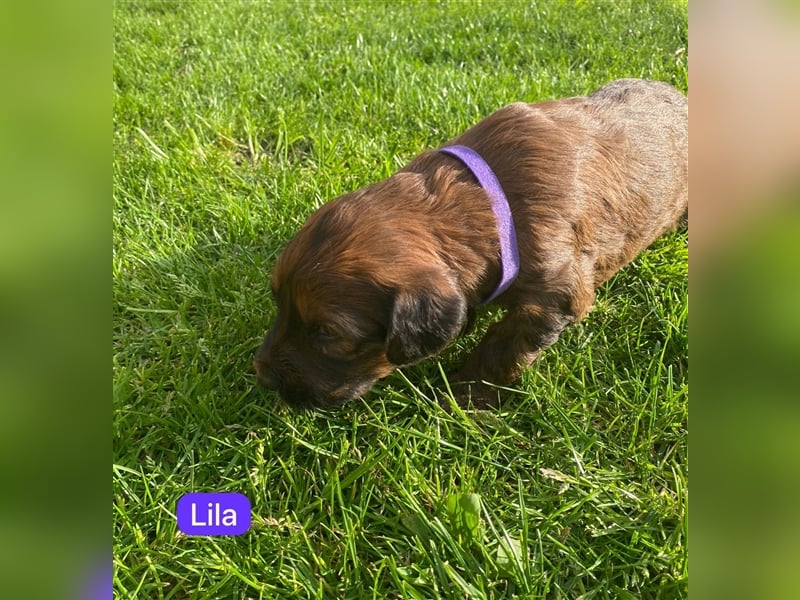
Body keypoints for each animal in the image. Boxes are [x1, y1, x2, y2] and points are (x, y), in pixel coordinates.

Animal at [252, 78, 688, 408]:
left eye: (328, 333)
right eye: (277, 301)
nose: (263, 378)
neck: (491, 204)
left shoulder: (554, 294)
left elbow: (502, 347)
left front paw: (465, 398)